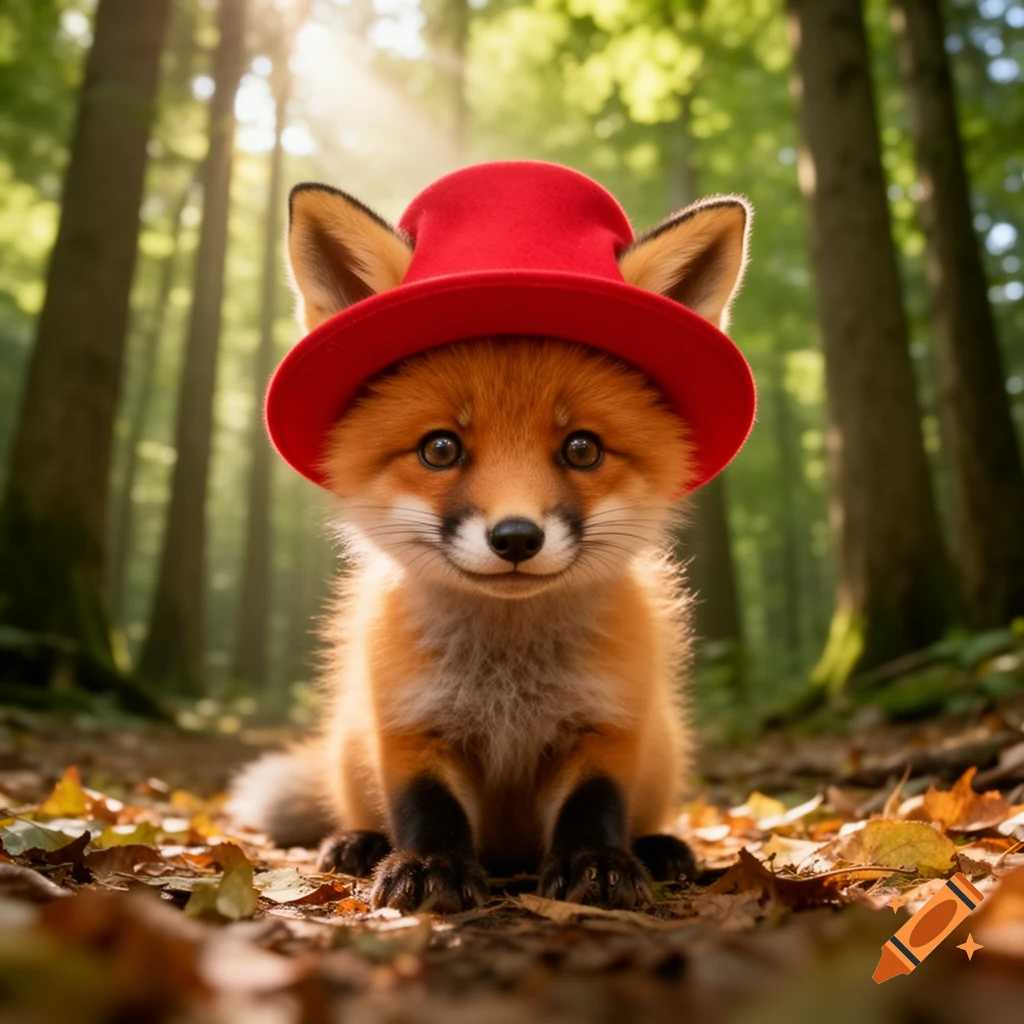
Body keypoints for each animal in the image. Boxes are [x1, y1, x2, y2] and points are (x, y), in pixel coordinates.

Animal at [228, 176, 752, 913]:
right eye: (441, 448)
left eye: (582, 449)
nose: (515, 537)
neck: (508, 682)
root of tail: (510, 856)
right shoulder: (410, 723)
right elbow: (427, 807)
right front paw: (428, 867)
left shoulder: (607, 722)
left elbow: (595, 805)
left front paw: (598, 865)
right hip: (352, 746)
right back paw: (358, 843)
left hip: (663, 749)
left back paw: (660, 848)